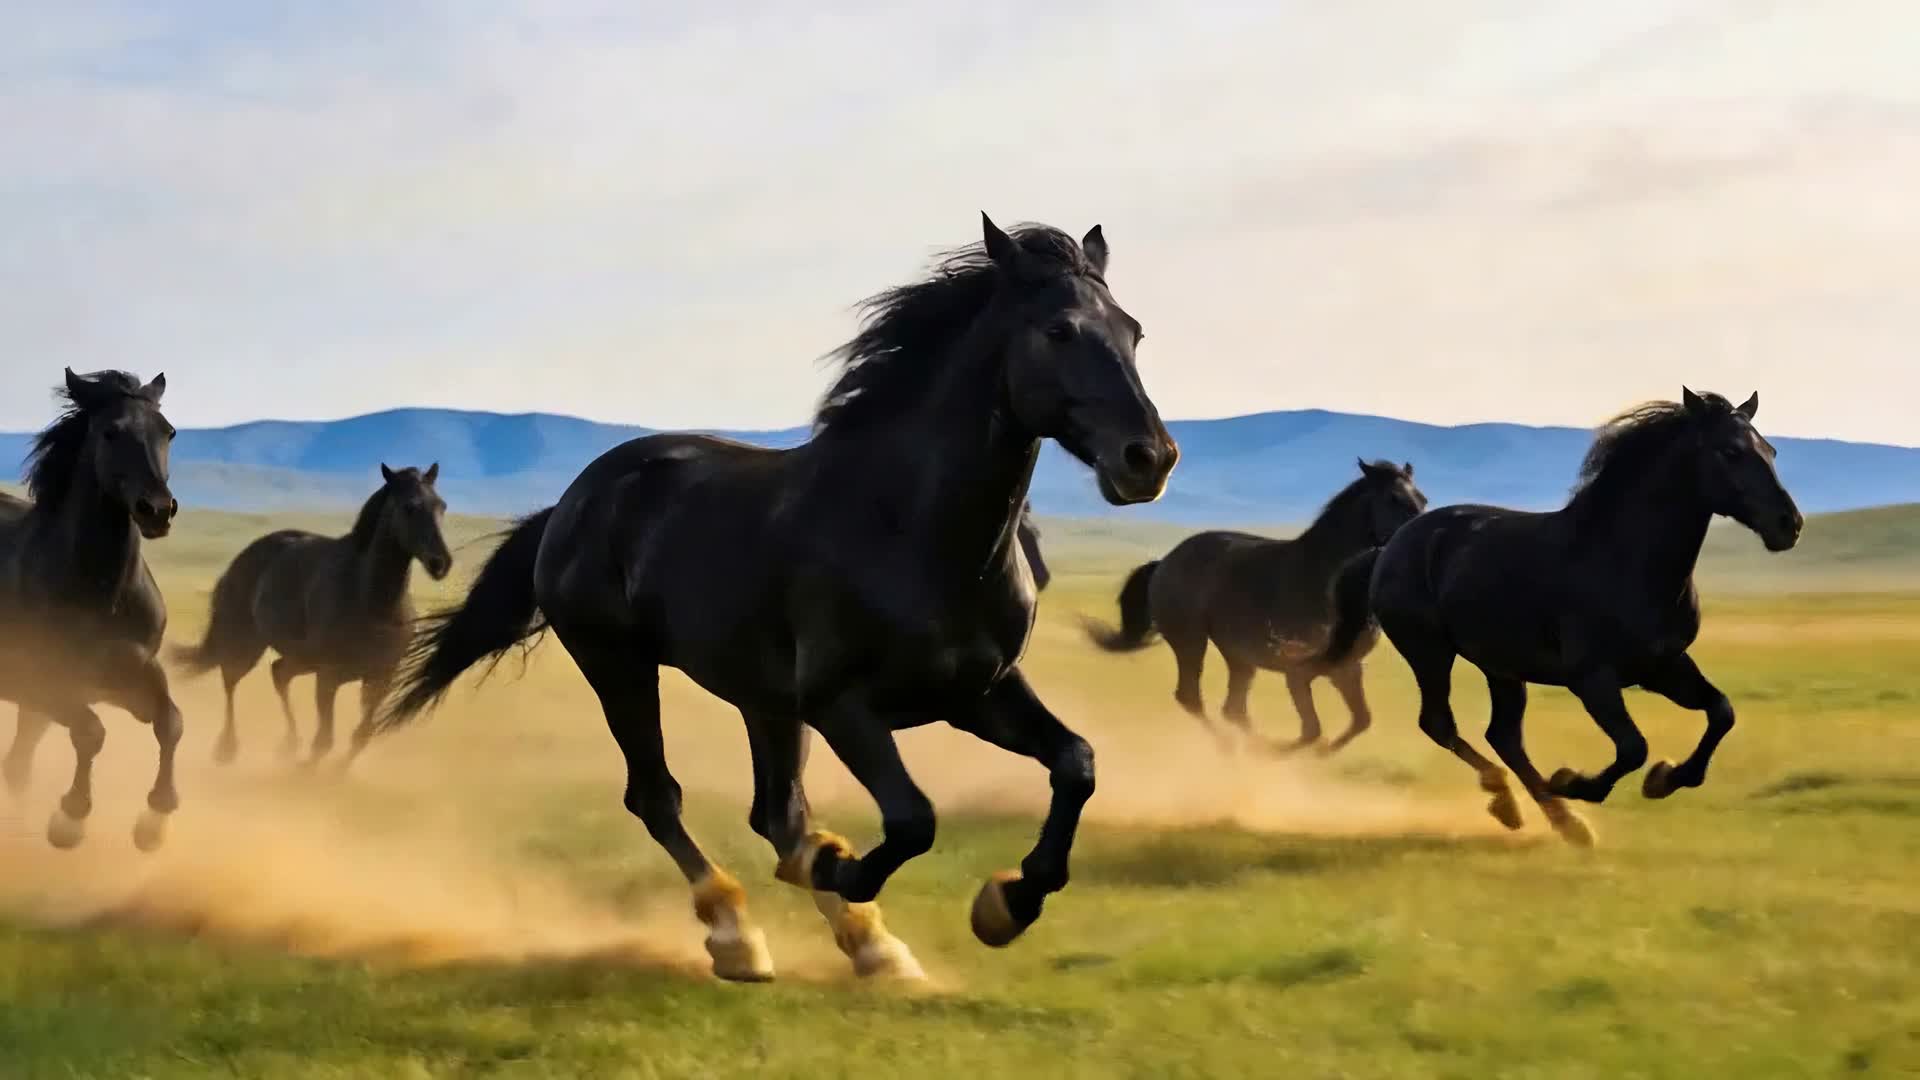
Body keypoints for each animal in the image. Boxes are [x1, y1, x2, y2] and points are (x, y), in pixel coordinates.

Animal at [0, 368, 184, 851]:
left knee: (18, 763)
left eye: (168, 431)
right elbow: (90, 732)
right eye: (110, 432)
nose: (157, 510)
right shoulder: (40, 682)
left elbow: (170, 722)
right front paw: (69, 818)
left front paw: (154, 822)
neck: (103, 595)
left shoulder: (129, 676)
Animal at [170, 464, 452, 768]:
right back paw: (227, 748)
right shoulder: (328, 677)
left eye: (441, 506)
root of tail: (241, 559)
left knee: (278, 673)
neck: (373, 603)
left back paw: (289, 744)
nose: (441, 563)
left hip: (301, 657)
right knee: (231, 678)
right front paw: (306, 771)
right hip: (249, 644)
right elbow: (324, 741)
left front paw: (336, 772)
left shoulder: (380, 678)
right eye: (409, 507)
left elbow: (361, 735)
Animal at [376, 215, 1177, 983]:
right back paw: (738, 936)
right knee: (660, 798)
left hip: (762, 697)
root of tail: (576, 500)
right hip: (620, 666)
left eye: (1133, 330)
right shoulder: (840, 703)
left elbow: (1075, 764)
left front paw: (1007, 903)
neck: (914, 532)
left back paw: (872, 948)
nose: (1150, 459)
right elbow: (912, 820)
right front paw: (842, 865)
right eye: (1058, 330)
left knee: (775, 812)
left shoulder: (978, 692)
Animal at [1086, 459, 1426, 753]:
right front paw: (1276, 753)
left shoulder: (1346, 669)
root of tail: (1164, 562)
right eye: (1394, 498)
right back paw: (1231, 748)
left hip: (1238, 657)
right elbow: (1312, 731)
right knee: (1192, 698)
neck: (1326, 579)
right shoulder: (1297, 672)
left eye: (1422, 499)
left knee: (1233, 709)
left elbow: (1359, 722)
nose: (1417, 539)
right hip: (1191, 642)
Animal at [1319, 390, 1801, 846]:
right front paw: (1575, 782)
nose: (1789, 524)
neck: (1625, 560)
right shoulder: (1592, 678)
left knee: (1503, 736)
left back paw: (1562, 822)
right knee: (1441, 724)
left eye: (1772, 450)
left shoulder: (1664, 666)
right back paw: (1513, 803)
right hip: (1430, 652)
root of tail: (1389, 548)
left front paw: (1667, 779)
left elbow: (1721, 712)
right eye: (1730, 451)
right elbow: (1633, 747)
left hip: (1500, 666)